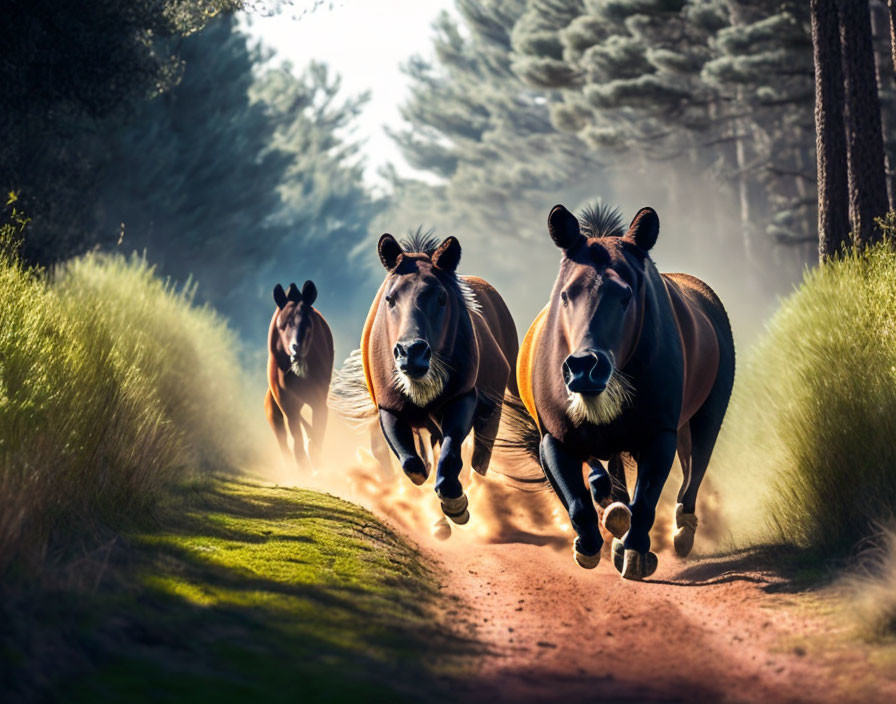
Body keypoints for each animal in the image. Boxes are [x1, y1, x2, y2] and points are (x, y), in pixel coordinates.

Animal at [268, 278, 338, 470]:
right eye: (282, 325)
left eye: (307, 323)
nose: (296, 348)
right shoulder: (287, 403)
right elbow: (296, 439)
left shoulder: (319, 401)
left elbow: (317, 436)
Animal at [334, 231, 520, 528]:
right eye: (390, 298)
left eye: (442, 297)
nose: (412, 353)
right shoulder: (390, 408)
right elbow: (414, 465)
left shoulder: (462, 399)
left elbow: (451, 455)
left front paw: (455, 503)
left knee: (480, 459)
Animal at [520, 202, 736, 576]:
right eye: (566, 294)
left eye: (626, 294)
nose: (584, 368)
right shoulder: (555, 438)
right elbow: (578, 501)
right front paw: (589, 547)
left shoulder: (659, 433)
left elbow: (645, 500)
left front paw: (634, 553)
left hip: (708, 412)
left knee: (696, 466)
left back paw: (682, 531)